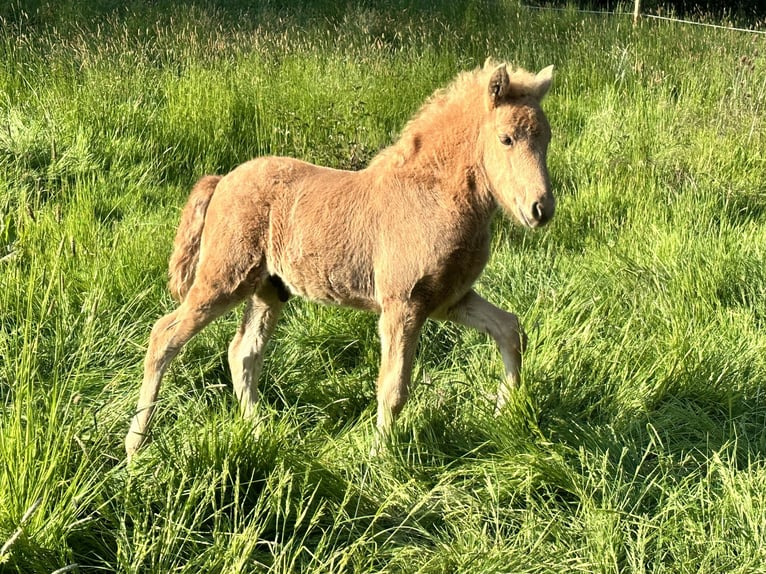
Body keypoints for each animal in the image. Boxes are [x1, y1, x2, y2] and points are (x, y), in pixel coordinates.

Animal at [127, 60, 560, 462]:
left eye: (546, 138)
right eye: (506, 138)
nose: (540, 210)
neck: (433, 197)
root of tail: (222, 180)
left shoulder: (448, 299)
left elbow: (510, 330)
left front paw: (504, 413)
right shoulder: (403, 305)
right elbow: (393, 387)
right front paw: (379, 459)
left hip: (267, 290)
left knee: (243, 353)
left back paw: (257, 431)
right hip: (224, 279)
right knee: (164, 335)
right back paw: (136, 445)